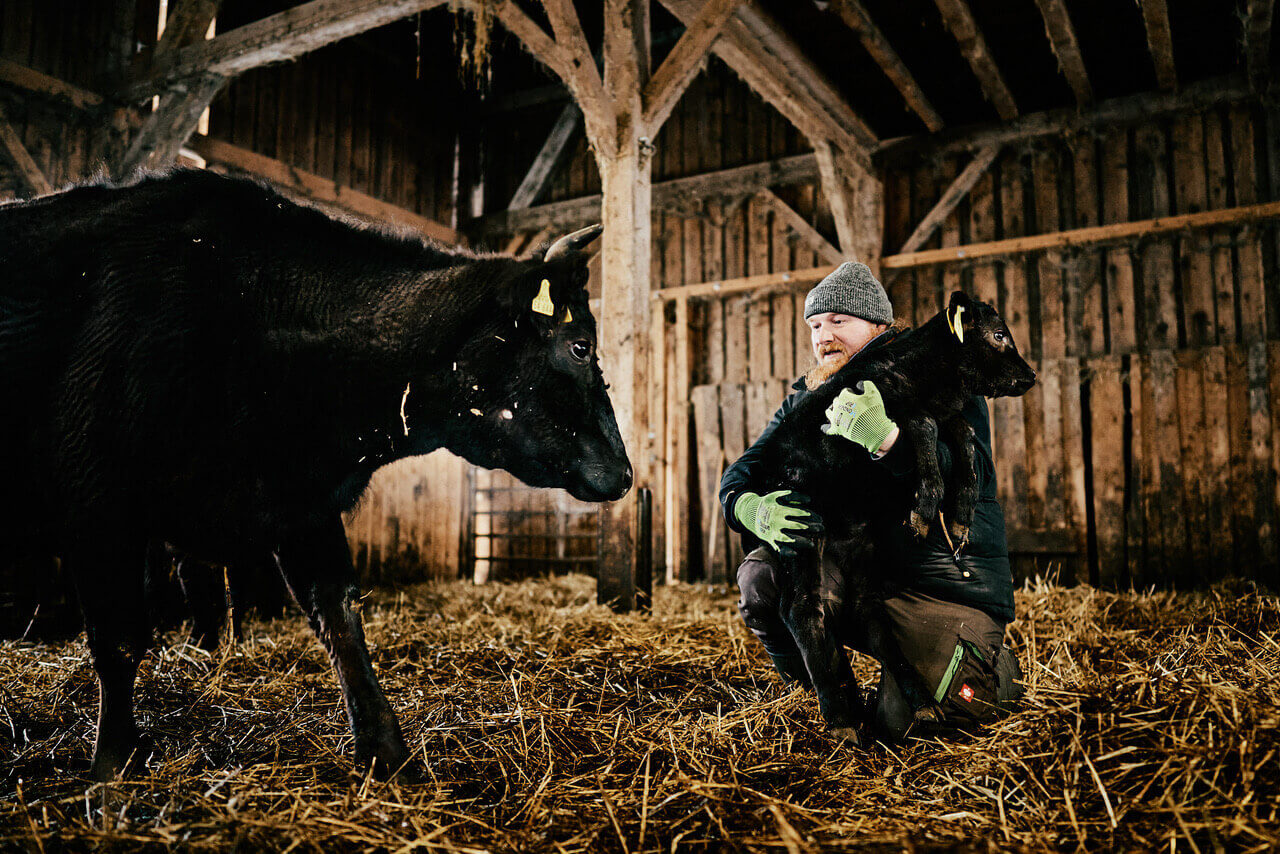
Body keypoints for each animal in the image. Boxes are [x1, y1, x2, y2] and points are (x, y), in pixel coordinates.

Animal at [0, 169, 629, 783]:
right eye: (580, 345)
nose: (624, 474)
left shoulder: (301, 502)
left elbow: (339, 614)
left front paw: (387, 752)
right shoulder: (99, 501)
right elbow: (120, 638)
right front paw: (115, 764)